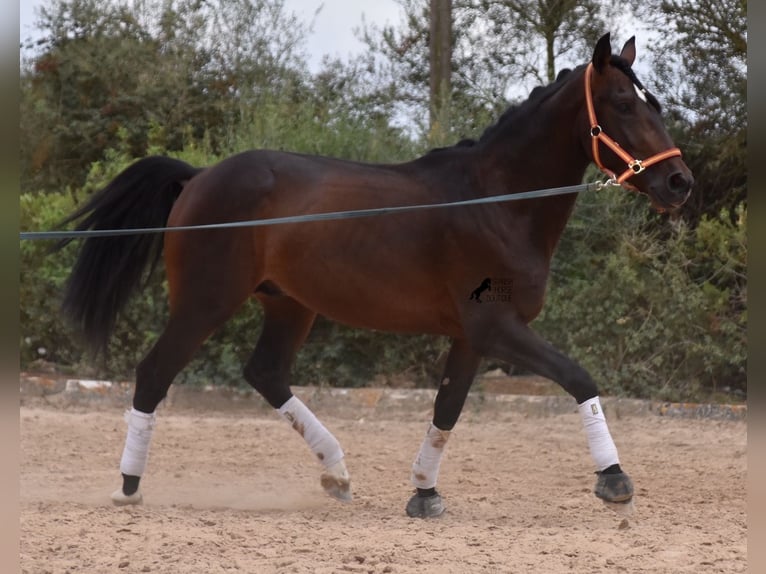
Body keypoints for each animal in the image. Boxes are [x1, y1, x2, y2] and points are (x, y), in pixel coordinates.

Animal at [58, 33, 696, 520]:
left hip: (289, 304)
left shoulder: (471, 338)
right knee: (153, 373)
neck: (498, 202)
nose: (679, 183)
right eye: (621, 102)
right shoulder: (498, 329)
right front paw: (614, 480)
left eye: (656, 104)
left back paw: (337, 474)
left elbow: (446, 410)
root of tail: (198, 178)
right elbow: (579, 377)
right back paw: (128, 488)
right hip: (205, 301)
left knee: (265, 373)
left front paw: (424, 494)